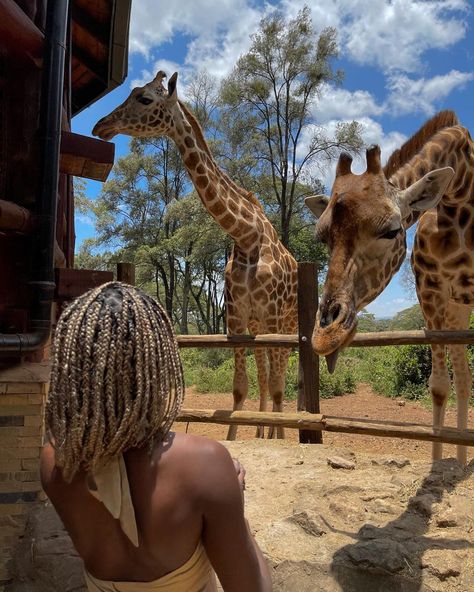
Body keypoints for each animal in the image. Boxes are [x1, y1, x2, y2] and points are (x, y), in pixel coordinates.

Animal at [92, 70, 296, 440]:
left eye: (144, 98)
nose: (102, 124)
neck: (246, 236)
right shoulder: (237, 316)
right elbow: (241, 387)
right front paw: (240, 437)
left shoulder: (273, 313)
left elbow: (276, 386)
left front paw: (283, 439)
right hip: (259, 323)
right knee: (264, 374)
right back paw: (262, 431)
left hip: (287, 321)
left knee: (280, 373)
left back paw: (277, 431)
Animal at [306, 110, 472, 462]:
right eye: (321, 236)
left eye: (392, 230)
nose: (326, 336)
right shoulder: (430, 293)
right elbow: (439, 385)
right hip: (456, 309)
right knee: (464, 377)